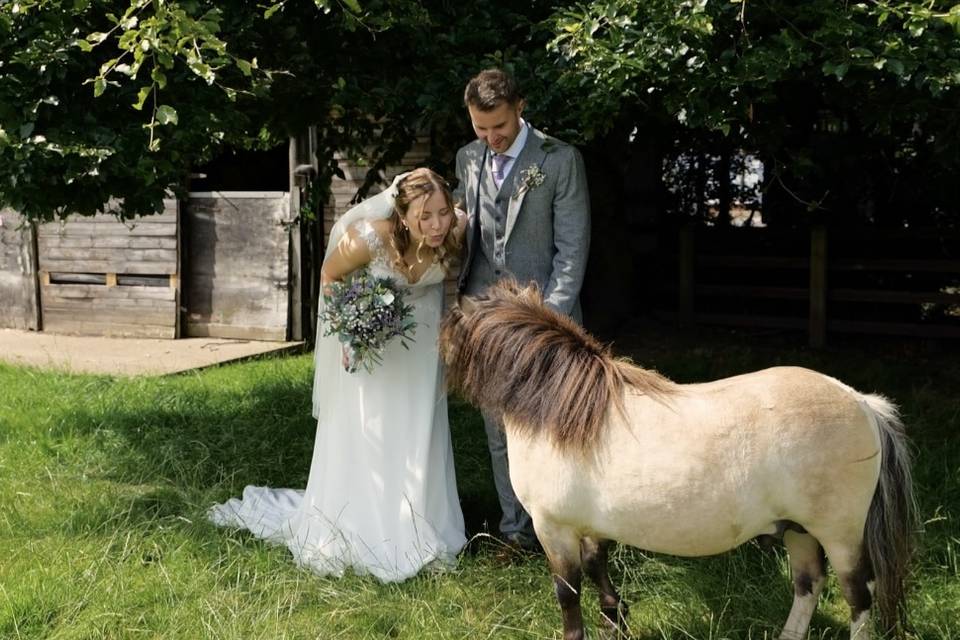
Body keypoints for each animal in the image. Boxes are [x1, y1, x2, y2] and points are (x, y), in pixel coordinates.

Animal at [440, 280, 916, 640]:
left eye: (448, 330)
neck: (561, 411)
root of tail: (861, 401)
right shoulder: (588, 526)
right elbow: (597, 567)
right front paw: (615, 617)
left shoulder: (553, 528)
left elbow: (568, 595)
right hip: (798, 530)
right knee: (808, 586)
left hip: (838, 534)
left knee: (858, 597)